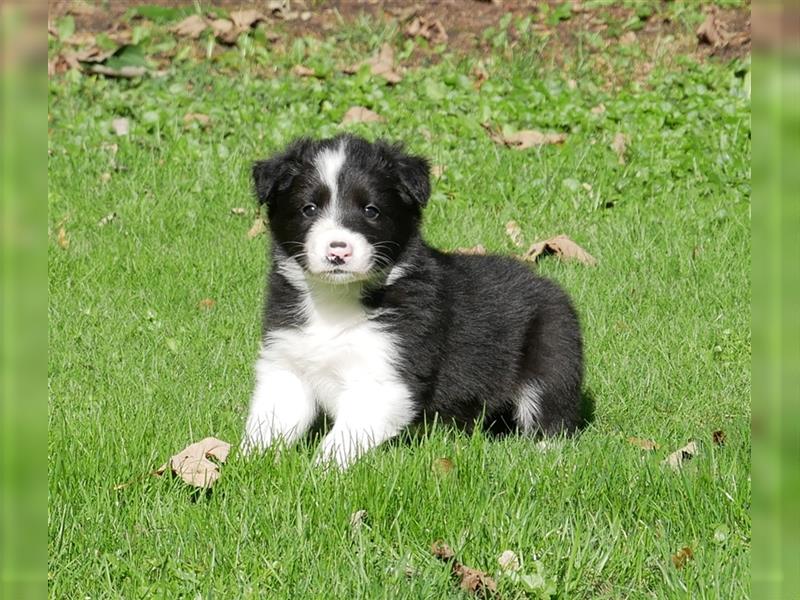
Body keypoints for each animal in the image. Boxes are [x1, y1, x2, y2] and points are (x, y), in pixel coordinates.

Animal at [241, 135, 584, 468]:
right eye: (309, 209)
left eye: (371, 210)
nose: (338, 251)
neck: (335, 300)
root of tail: (545, 282)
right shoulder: (285, 366)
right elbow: (269, 423)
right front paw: (247, 464)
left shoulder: (384, 379)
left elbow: (342, 439)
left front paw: (321, 472)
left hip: (552, 354)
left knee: (551, 414)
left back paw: (542, 452)